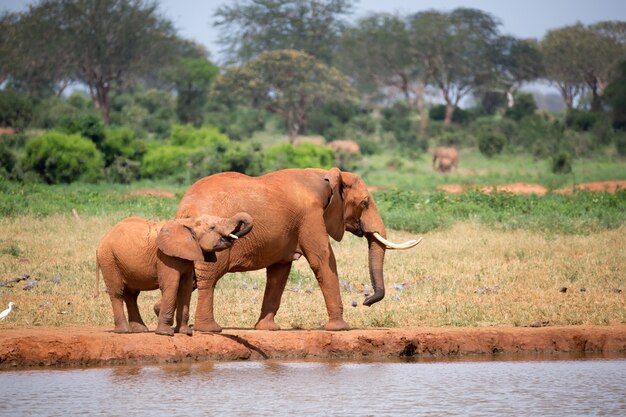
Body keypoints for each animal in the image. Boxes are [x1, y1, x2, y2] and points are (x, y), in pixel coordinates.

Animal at [95, 213, 251, 336]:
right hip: (109, 259)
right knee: (117, 292)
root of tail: (103, 238)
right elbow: (172, 286)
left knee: (132, 294)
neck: (188, 222)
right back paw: (124, 331)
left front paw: (185, 332)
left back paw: (140, 330)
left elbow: (185, 288)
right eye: (212, 228)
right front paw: (165, 333)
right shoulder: (165, 256)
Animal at [176, 167, 420, 332]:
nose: (365, 302)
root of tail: (185, 207)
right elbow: (323, 260)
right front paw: (341, 328)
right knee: (209, 278)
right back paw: (209, 329)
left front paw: (268, 329)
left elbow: (279, 272)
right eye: (365, 203)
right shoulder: (310, 216)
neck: (326, 175)